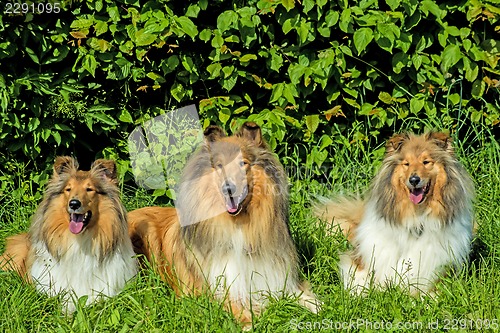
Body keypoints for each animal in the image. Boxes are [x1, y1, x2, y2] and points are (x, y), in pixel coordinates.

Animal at [129, 122, 320, 324]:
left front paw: (322, 307)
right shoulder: (210, 289)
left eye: (242, 163)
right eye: (219, 166)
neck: (238, 225)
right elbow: (236, 307)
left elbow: (302, 296)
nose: (229, 188)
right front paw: (251, 322)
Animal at [318, 132, 474, 294]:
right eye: (407, 164)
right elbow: (360, 280)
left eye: (426, 162)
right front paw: (359, 294)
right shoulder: (361, 259)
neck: (416, 217)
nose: (414, 180)